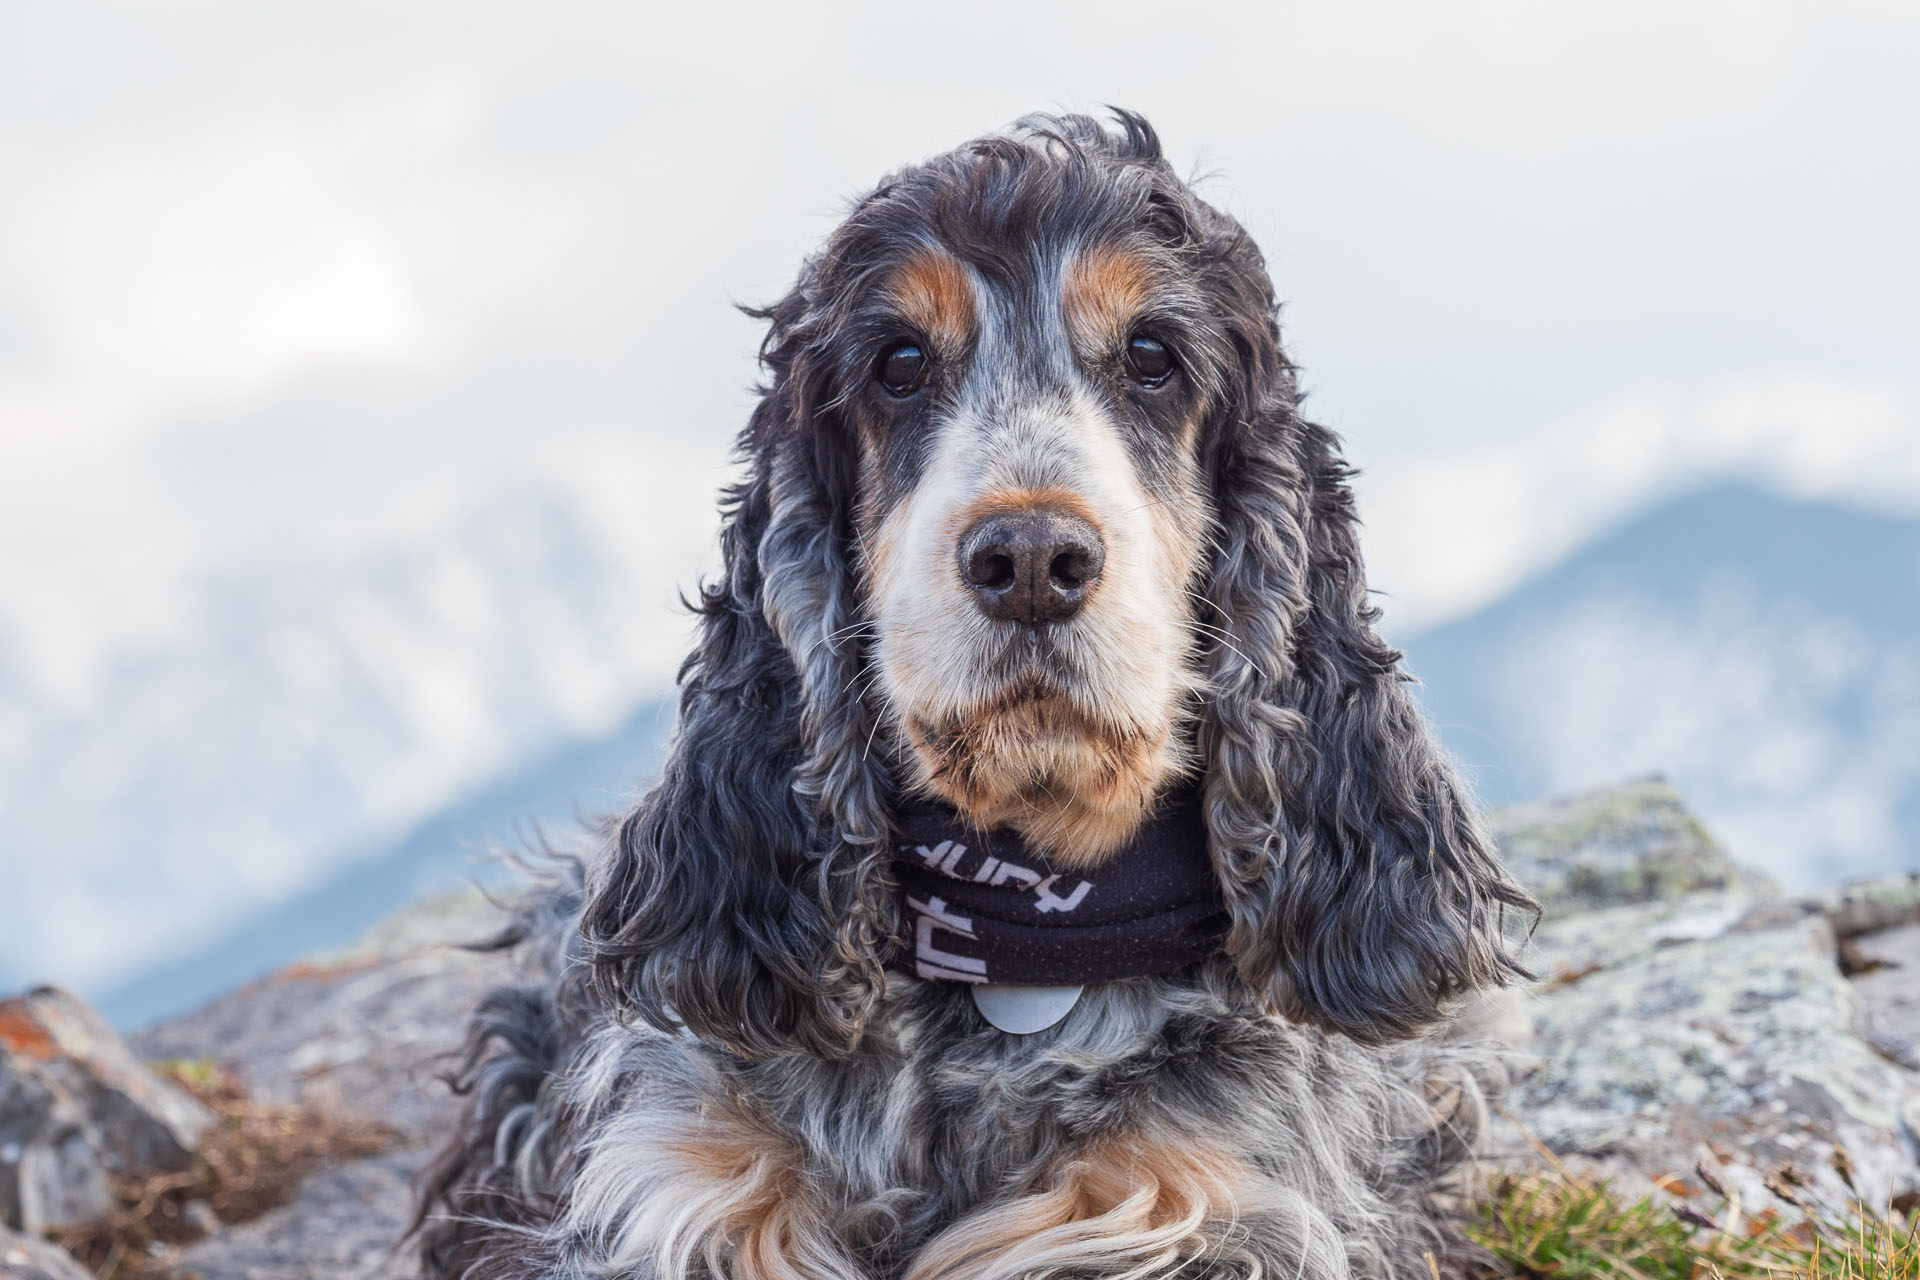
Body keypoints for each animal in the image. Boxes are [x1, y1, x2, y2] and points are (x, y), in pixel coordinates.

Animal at [412, 112, 1536, 1280]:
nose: (1032, 559)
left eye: (1153, 358)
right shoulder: (673, 1179)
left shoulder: (1200, 1203)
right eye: (899, 364)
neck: (1021, 943)